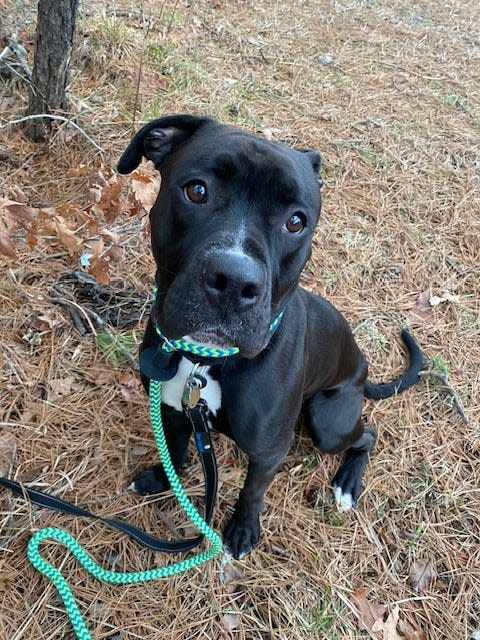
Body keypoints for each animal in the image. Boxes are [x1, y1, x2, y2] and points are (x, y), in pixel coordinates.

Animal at [117, 115, 424, 560]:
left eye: (296, 221)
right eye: (197, 190)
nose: (233, 282)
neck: (206, 359)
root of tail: (363, 370)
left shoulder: (268, 451)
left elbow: (252, 492)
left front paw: (243, 530)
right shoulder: (171, 410)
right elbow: (174, 450)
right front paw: (162, 478)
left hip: (328, 422)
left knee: (367, 435)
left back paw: (347, 484)